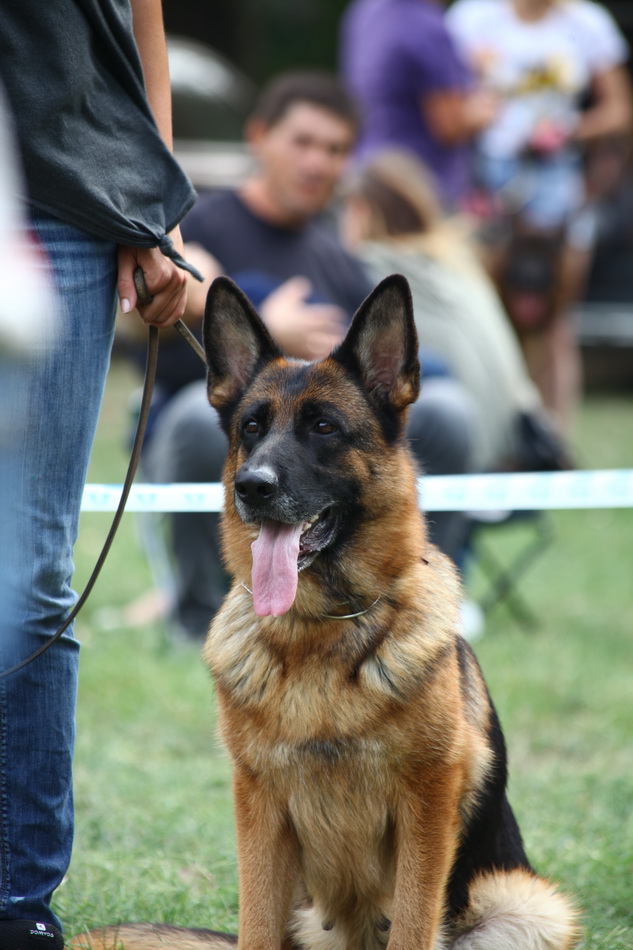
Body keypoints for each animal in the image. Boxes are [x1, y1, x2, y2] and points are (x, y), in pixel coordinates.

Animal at [72, 275, 578, 950]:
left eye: (323, 427)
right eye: (251, 427)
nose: (252, 487)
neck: (320, 628)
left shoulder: (427, 807)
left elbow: (413, 924)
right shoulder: (258, 810)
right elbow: (255, 926)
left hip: (528, 903)